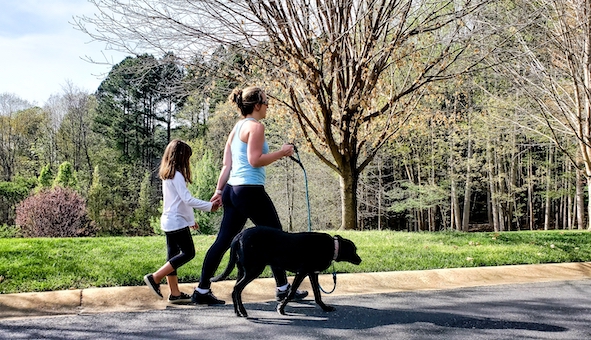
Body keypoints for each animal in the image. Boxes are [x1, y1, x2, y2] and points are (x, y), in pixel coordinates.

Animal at [210, 226, 364, 316]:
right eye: (354, 249)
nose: (360, 260)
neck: (333, 246)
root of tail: (238, 236)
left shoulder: (312, 273)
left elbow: (317, 294)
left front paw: (325, 307)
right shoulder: (302, 272)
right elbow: (291, 292)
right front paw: (281, 309)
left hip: (242, 270)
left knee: (235, 290)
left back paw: (237, 311)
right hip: (254, 269)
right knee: (237, 288)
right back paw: (242, 311)